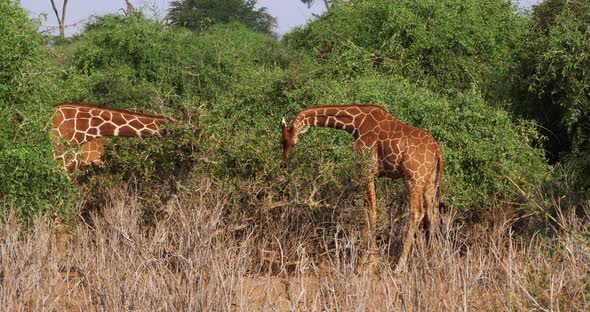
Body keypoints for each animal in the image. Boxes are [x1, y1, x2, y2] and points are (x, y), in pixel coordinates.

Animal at [282, 103, 444, 272]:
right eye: (282, 141)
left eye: (289, 142)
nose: (284, 161)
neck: (356, 123)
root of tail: (438, 151)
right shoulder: (374, 174)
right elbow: (371, 211)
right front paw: (370, 259)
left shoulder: (367, 170)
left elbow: (370, 212)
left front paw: (367, 262)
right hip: (431, 184)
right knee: (432, 214)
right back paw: (432, 259)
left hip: (414, 179)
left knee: (417, 212)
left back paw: (399, 266)